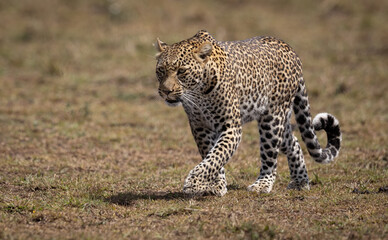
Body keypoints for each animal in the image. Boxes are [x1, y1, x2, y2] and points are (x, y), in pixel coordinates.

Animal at [153, 30, 342, 196]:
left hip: (272, 119)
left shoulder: (231, 127)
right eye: (161, 70)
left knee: (270, 155)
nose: (166, 91)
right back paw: (300, 182)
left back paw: (262, 184)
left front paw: (193, 183)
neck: (199, 93)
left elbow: (216, 155)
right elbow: (210, 155)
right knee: (293, 142)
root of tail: (291, 50)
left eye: (181, 71)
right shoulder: (200, 126)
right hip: (280, 120)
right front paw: (216, 185)